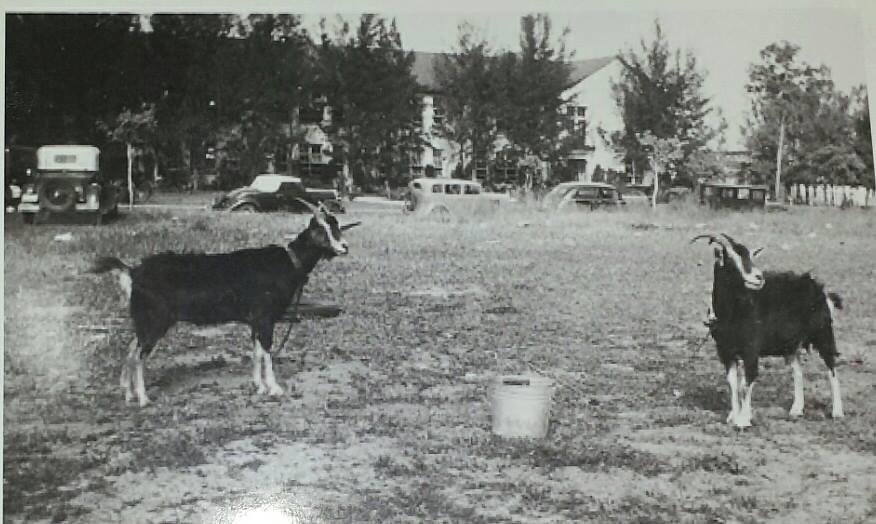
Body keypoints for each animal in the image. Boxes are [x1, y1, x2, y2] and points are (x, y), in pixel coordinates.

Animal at [91, 199, 360, 407]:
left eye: (337, 226)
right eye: (321, 230)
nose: (345, 247)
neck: (289, 261)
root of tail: (132, 272)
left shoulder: (255, 320)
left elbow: (257, 351)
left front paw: (259, 386)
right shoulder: (264, 316)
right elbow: (267, 351)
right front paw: (274, 388)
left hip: (143, 320)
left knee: (130, 349)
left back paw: (128, 394)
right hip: (155, 319)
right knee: (138, 356)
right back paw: (143, 399)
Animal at [692, 233, 844, 428]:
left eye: (750, 256)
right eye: (731, 259)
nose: (759, 277)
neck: (732, 310)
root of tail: (819, 289)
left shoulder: (750, 350)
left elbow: (746, 383)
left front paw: (743, 420)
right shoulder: (726, 351)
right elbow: (733, 383)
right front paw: (733, 416)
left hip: (823, 334)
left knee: (831, 368)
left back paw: (837, 412)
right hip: (791, 345)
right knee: (798, 370)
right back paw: (796, 410)